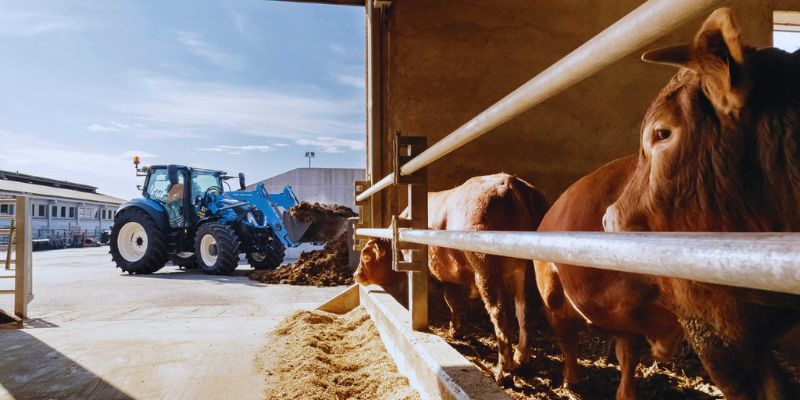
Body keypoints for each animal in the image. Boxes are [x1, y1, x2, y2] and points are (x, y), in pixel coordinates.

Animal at [354, 173, 548, 382]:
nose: (356, 275)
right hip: (529, 271)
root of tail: (511, 181)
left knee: (500, 315)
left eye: (366, 256)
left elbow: (451, 300)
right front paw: (456, 329)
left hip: (488, 270)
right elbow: (456, 301)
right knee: (526, 310)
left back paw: (503, 371)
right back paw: (522, 359)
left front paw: (454, 329)